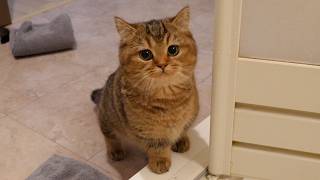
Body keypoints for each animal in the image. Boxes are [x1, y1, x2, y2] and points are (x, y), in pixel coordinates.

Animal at [90, 6, 198, 174]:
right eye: (145, 54)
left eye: (173, 49)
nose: (162, 64)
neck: (167, 97)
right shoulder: (148, 133)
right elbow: (157, 147)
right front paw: (159, 161)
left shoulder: (190, 116)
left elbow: (183, 129)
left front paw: (181, 140)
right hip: (108, 116)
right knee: (109, 134)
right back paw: (115, 150)